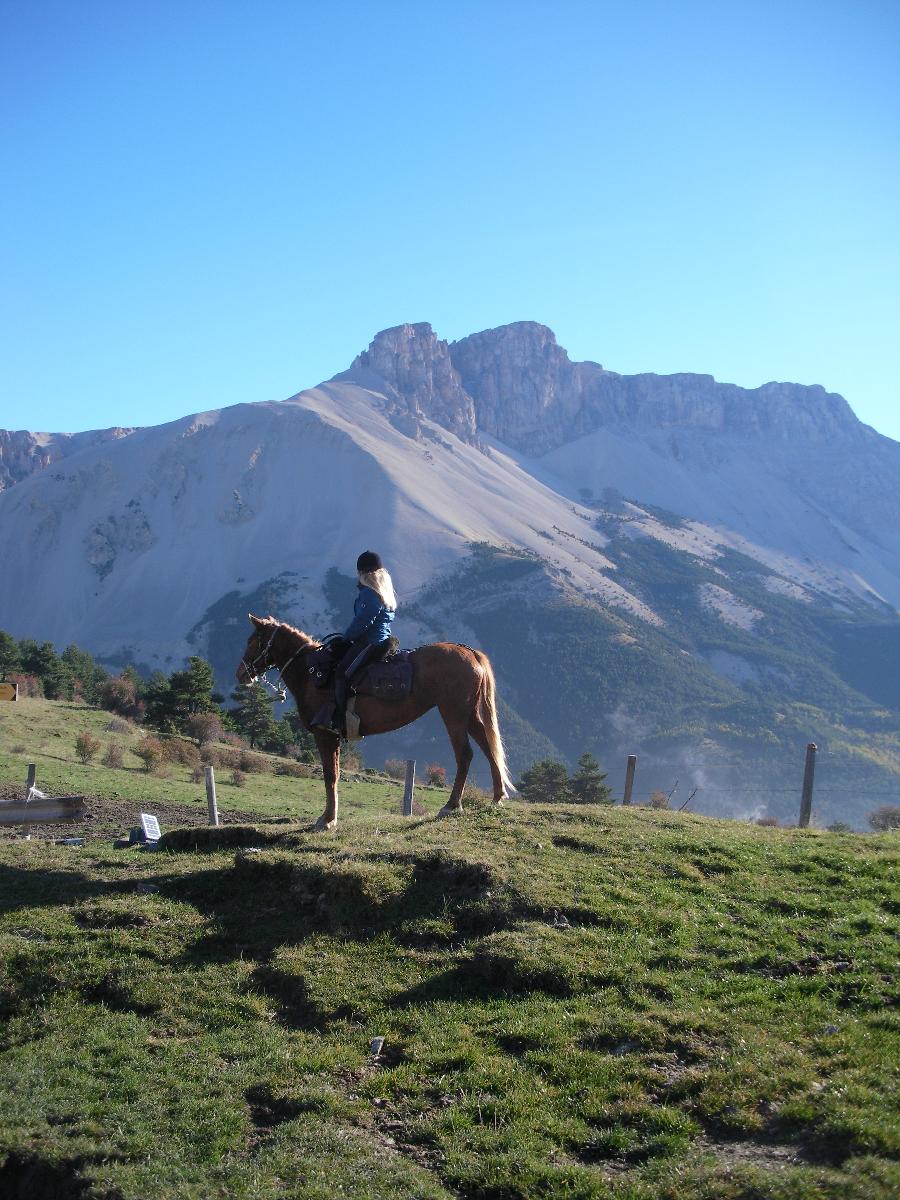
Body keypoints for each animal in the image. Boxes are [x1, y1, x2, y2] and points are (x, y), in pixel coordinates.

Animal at [236, 614, 513, 830]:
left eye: (252, 641)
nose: (241, 674)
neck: (310, 674)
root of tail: (470, 652)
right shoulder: (333, 737)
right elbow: (335, 774)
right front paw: (330, 817)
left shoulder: (325, 734)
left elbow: (330, 775)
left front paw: (327, 820)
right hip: (469, 714)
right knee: (489, 748)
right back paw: (497, 796)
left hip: (453, 714)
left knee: (465, 754)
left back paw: (452, 805)